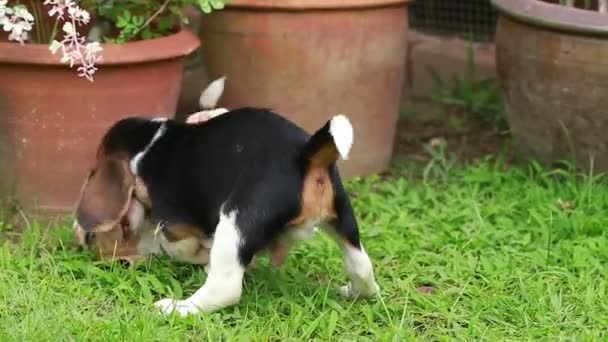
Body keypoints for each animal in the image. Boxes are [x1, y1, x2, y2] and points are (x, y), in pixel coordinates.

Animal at [72, 77, 380, 316]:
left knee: (225, 288)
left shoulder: (174, 218)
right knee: (362, 268)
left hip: (236, 221)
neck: (150, 142)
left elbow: (177, 242)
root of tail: (306, 157)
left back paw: (177, 308)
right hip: (344, 218)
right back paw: (354, 291)